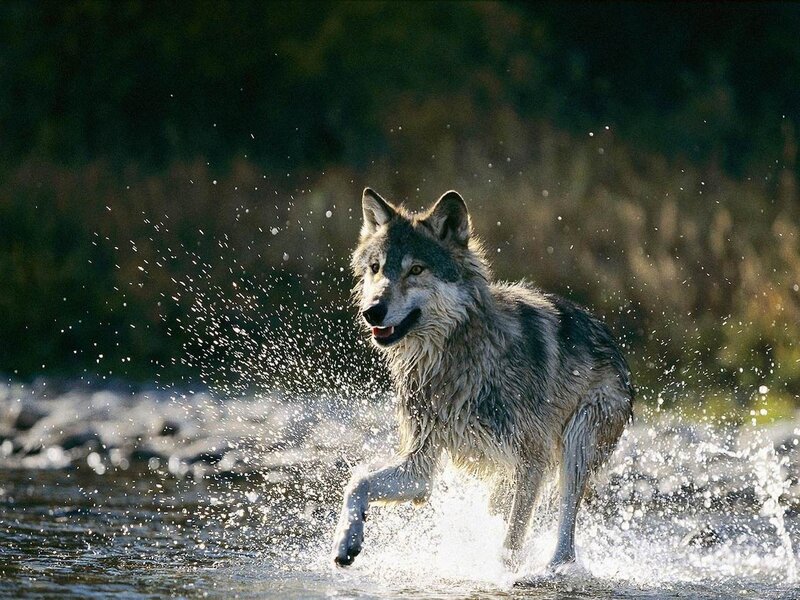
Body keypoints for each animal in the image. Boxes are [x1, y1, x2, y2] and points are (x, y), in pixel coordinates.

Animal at [332, 188, 634, 571]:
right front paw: (346, 541)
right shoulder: (420, 468)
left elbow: (511, 543)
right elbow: (356, 482)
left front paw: (505, 575)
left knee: (566, 539)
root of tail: (615, 346)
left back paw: (553, 570)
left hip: (574, 445)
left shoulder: (531, 461)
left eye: (416, 269)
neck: (455, 361)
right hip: (506, 477)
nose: (372, 311)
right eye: (376, 268)